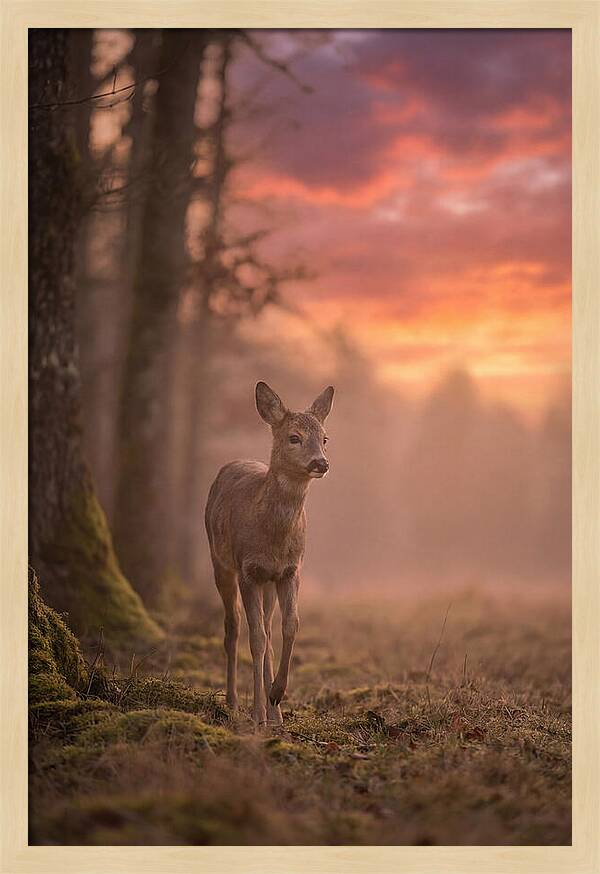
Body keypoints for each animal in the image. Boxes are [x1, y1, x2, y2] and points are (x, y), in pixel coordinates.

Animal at [205, 381, 334, 727]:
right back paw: (234, 702)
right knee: (233, 626)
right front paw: (257, 714)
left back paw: (275, 712)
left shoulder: (290, 570)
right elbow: (257, 639)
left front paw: (276, 695)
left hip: (268, 584)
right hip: (220, 562)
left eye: (325, 438)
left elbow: (291, 626)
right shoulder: (248, 570)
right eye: (294, 437)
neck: (273, 539)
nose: (321, 463)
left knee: (266, 626)